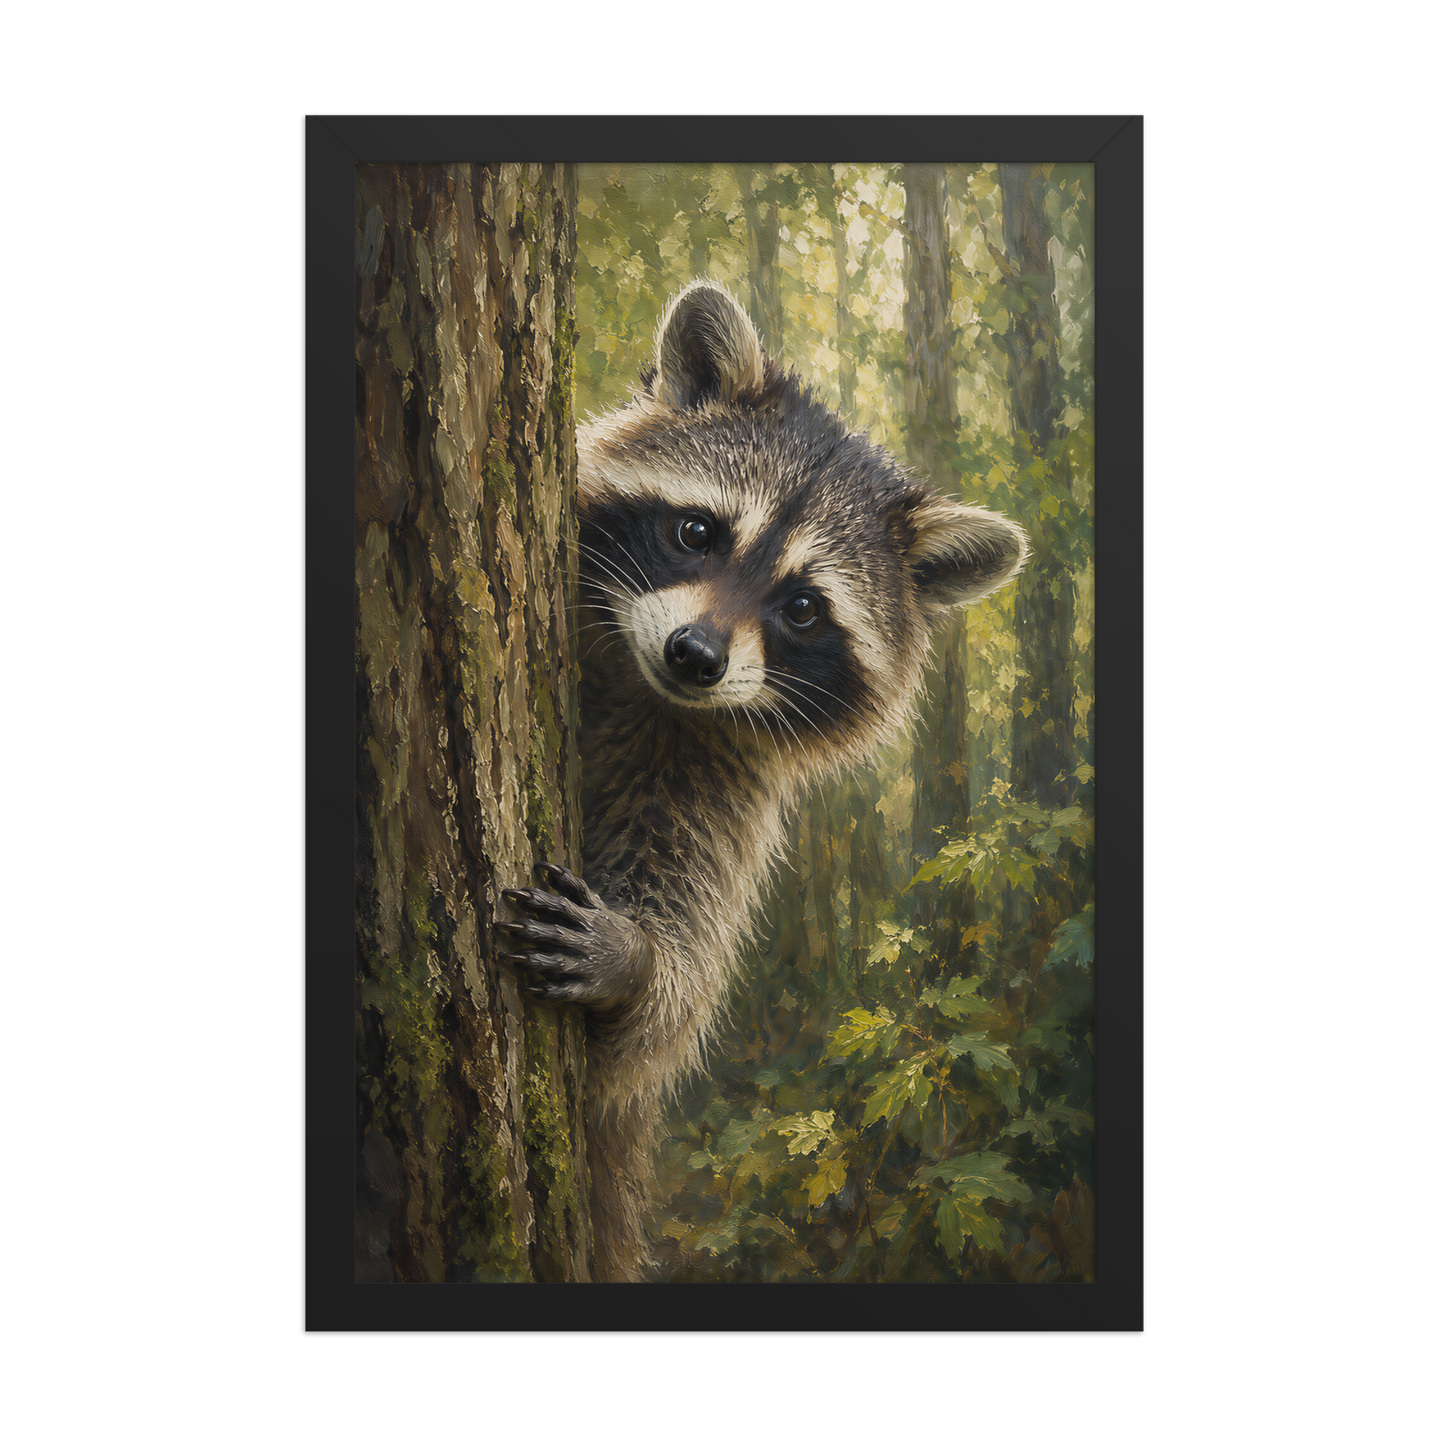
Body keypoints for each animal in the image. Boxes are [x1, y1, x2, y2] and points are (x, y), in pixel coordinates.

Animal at [500, 280, 1029, 1282]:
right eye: (696, 531)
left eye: (803, 607)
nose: (696, 655)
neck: (643, 685)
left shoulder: (719, 784)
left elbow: (663, 1010)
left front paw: (638, 961)